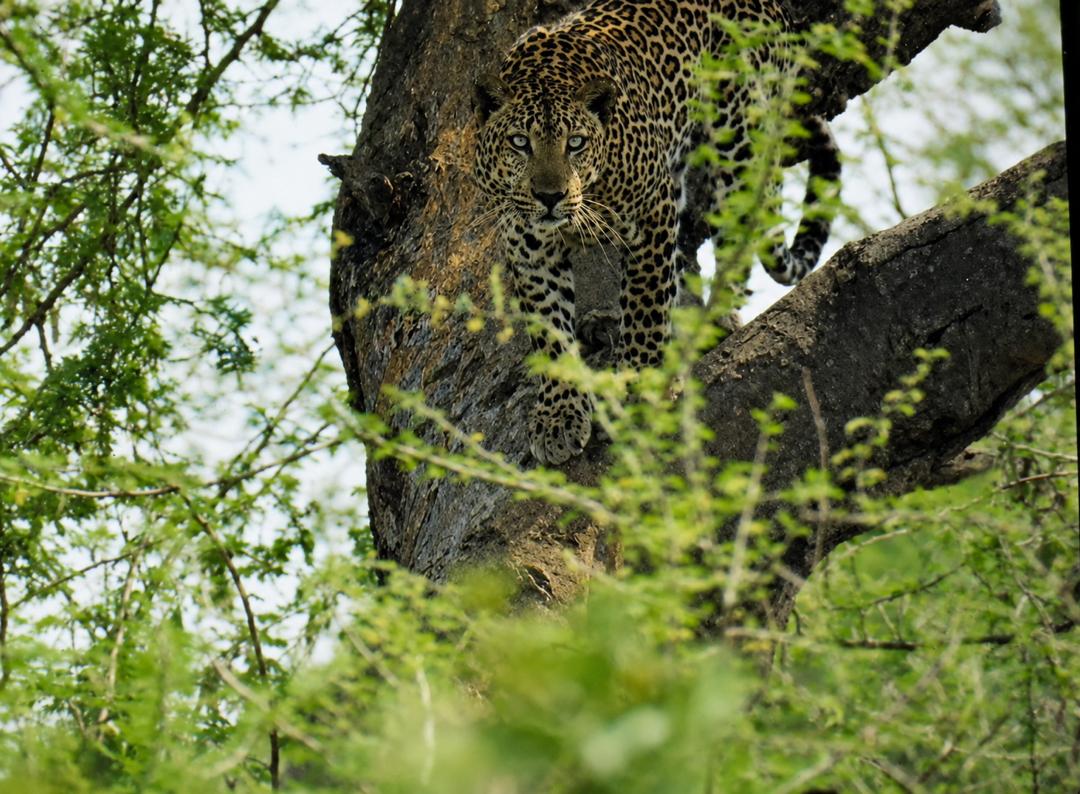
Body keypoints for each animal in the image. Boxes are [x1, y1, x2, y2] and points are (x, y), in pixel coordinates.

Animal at [472, 0, 840, 465]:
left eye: (575, 143)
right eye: (520, 142)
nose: (550, 196)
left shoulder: (652, 214)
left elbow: (645, 308)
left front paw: (638, 389)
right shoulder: (528, 245)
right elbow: (551, 333)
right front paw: (559, 417)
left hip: (739, 136)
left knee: (738, 231)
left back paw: (710, 322)